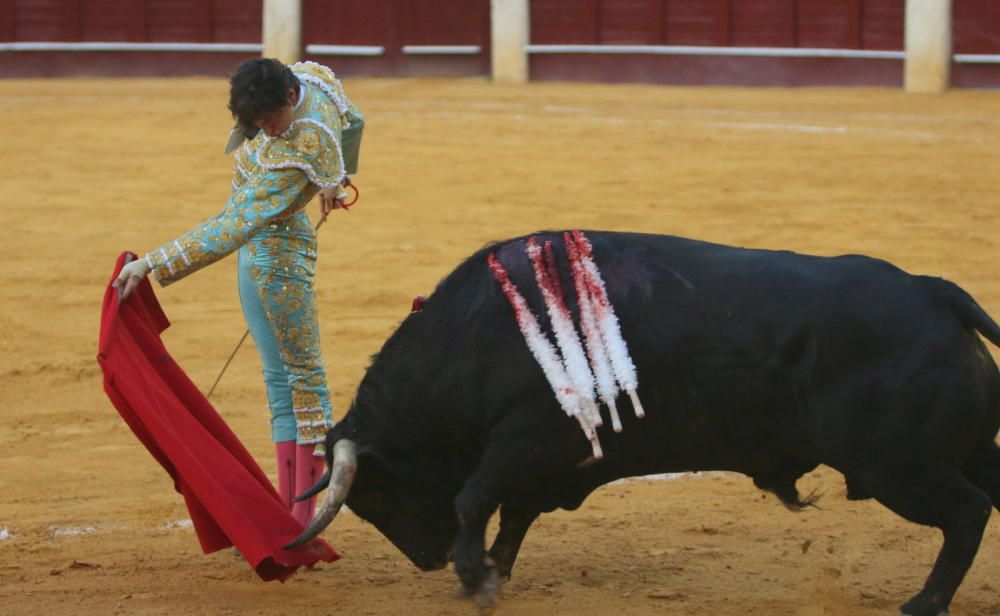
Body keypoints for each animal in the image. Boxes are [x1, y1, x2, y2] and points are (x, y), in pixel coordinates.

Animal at [286, 232, 996, 616]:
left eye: (375, 495)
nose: (429, 561)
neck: (474, 336)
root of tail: (933, 292)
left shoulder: (523, 440)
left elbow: (474, 499)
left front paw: (474, 576)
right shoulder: (540, 462)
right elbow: (510, 515)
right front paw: (491, 570)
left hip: (898, 465)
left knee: (967, 513)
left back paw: (925, 602)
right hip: (954, 454)